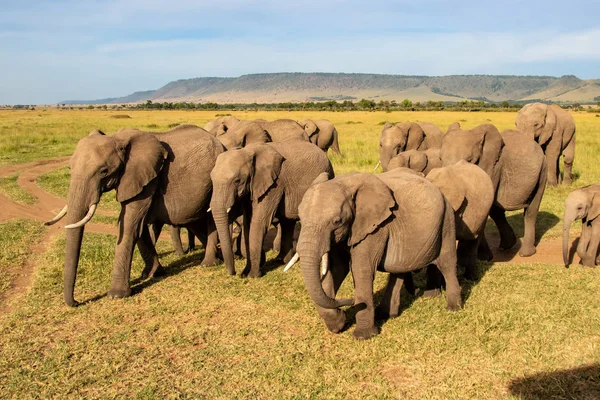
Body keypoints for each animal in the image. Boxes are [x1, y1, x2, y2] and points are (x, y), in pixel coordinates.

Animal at [44, 125, 223, 306]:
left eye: (104, 171)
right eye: (70, 168)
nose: (77, 303)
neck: (118, 139)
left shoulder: (147, 180)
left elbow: (130, 224)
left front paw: (116, 295)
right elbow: (139, 225)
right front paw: (153, 273)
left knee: (210, 220)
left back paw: (209, 263)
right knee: (195, 223)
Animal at [210, 139, 332, 276]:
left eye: (237, 181)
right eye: (211, 180)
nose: (234, 273)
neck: (247, 151)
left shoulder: (274, 185)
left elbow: (258, 222)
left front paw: (253, 276)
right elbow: (247, 223)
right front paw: (245, 273)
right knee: (287, 222)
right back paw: (281, 260)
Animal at [438, 124, 548, 256]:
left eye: (469, 160)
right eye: (440, 158)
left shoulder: (494, 166)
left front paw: (483, 257)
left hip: (542, 171)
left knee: (531, 211)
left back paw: (526, 253)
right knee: (496, 211)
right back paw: (506, 246)